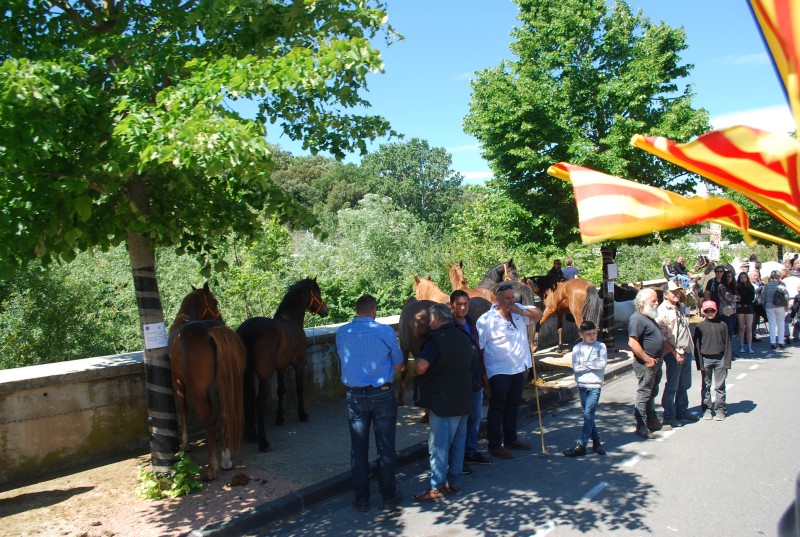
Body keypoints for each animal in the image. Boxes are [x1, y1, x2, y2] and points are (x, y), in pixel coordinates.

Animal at [168, 282, 244, 480]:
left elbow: (183, 409)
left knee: (209, 419)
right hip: (222, 385)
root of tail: (211, 331)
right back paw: (226, 459)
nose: (222, 320)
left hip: (197, 390)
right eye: (215, 302)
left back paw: (212, 467)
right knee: (224, 415)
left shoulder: (178, 381)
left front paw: (184, 444)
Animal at [234, 278, 328, 450]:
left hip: (247, 375)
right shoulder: (299, 363)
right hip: (265, 376)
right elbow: (299, 388)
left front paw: (280, 418)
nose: (326, 310)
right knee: (259, 403)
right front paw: (302, 414)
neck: (290, 320)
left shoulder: (281, 368)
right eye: (318, 292)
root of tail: (247, 331)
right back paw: (264, 443)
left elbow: (281, 391)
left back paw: (252, 436)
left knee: (247, 400)